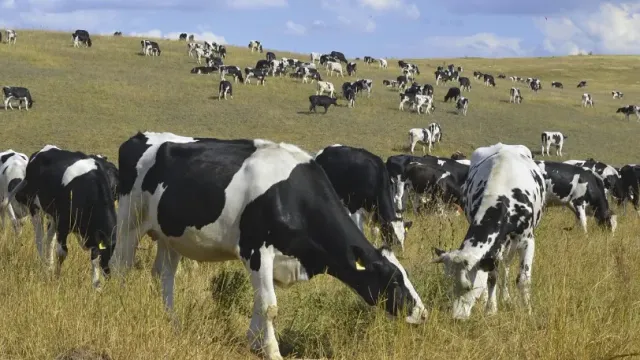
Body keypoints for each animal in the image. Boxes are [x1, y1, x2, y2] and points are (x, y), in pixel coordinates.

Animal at [0, 145, 117, 288]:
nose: (110, 278)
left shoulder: (93, 233)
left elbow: (94, 256)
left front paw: (96, 285)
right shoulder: (63, 222)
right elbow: (62, 252)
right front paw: (56, 277)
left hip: (53, 216)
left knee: (49, 240)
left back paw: (48, 265)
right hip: (35, 207)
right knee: (39, 239)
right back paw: (43, 265)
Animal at [110, 133, 430, 360]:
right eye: (393, 280)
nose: (424, 313)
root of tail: (140, 137)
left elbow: (260, 303)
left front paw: (253, 341)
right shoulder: (256, 251)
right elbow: (270, 306)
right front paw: (273, 351)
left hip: (170, 236)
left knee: (164, 276)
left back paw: (172, 321)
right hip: (128, 222)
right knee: (120, 268)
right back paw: (119, 307)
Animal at [430, 142, 544, 320]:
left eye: (468, 286)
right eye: (448, 283)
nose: (457, 317)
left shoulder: (528, 240)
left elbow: (524, 280)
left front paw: (528, 312)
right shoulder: (494, 247)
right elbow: (491, 277)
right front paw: (491, 309)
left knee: (507, 265)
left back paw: (506, 297)